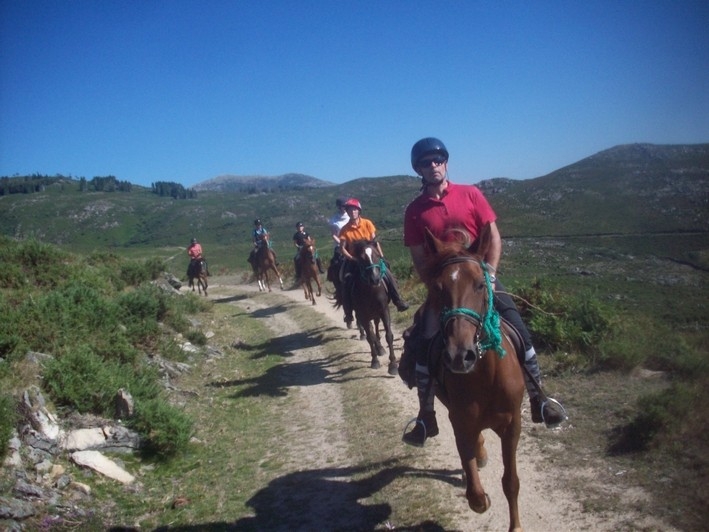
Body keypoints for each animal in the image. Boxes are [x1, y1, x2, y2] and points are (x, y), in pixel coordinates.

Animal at [348, 240, 398, 374]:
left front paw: (393, 365)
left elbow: (389, 336)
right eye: (361, 258)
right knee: (370, 330)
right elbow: (370, 337)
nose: (375, 279)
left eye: (377, 255)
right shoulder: (363, 315)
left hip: (376, 313)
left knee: (375, 326)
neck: (371, 291)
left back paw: (380, 347)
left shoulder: (384, 310)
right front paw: (375, 361)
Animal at [418, 224, 524, 532]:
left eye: (480, 284)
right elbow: (476, 497)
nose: (459, 355)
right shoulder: (460, 420)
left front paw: (516, 526)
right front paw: (477, 490)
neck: (487, 377)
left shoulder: (513, 425)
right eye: (438, 287)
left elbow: (511, 482)